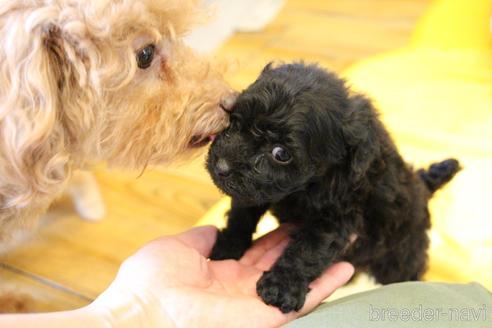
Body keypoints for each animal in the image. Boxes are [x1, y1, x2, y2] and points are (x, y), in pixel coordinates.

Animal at [206, 63, 460, 312]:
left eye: (281, 153)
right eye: (235, 121)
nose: (221, 166)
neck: (304, 188)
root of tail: (422, 185)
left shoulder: (338, 214)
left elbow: (308, 249)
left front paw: (282, 286)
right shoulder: (254, 191)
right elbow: (241, 215)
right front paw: (228, 246)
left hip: (400, 254)